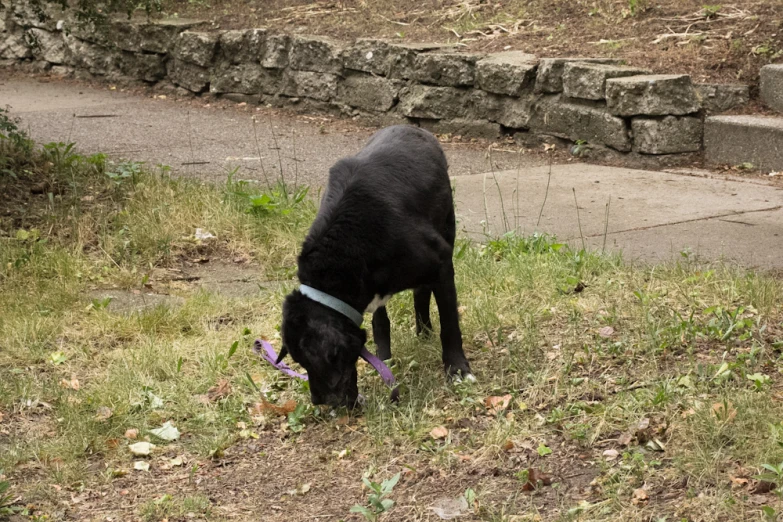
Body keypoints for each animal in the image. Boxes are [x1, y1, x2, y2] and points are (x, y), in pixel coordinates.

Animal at [278, 125, 472, 406]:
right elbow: (380, 322)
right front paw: (384, 360)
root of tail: (411, 127)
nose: (318, 402)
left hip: (447, 225)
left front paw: (457, 369)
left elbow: (449, 324)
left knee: (422, 292)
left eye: (321, 361)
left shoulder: (441, 263)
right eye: (300, 362)